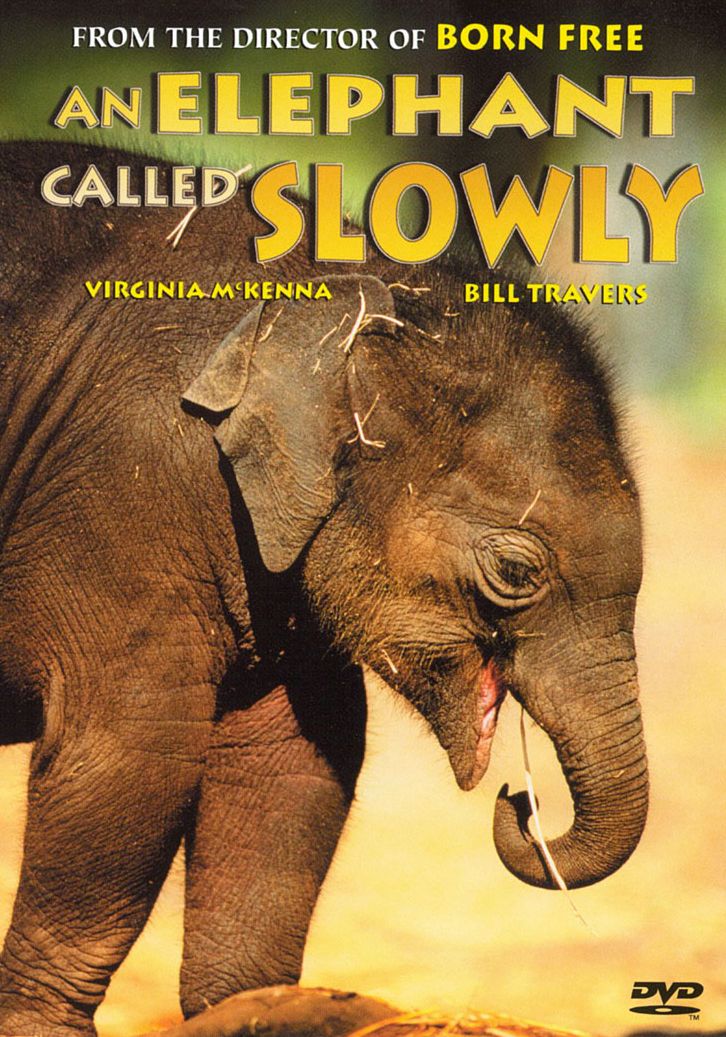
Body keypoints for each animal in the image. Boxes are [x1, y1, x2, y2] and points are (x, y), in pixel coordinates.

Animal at [0, 142, 648, 1036]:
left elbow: (294, 766)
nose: (522, 795)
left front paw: (253, 1010)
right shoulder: (122, 494)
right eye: (518, 572)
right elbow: (129, 757)